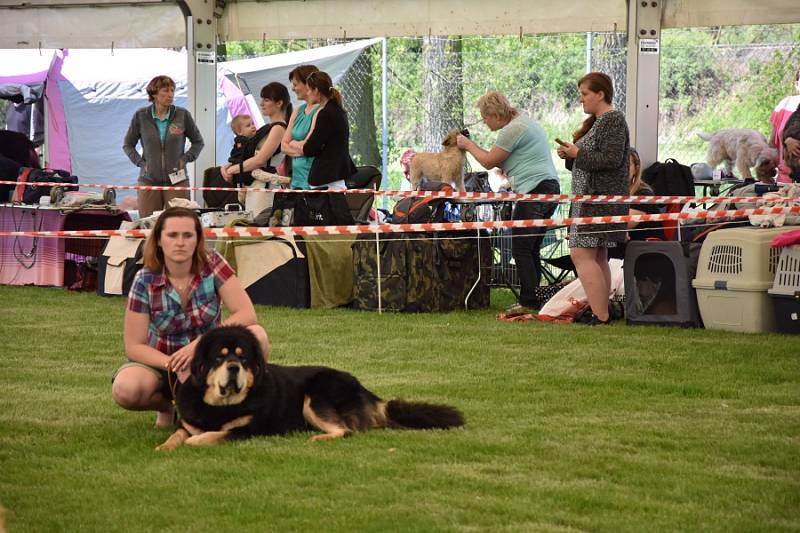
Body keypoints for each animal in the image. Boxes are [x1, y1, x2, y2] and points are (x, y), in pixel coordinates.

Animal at [157, 324, 466, 448]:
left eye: (242, 358)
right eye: (220, 358)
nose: (233, 367)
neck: (222, 406)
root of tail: (364, 389)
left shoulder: (248, 430)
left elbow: (215, 435)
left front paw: (196, 441)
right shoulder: (187, 423)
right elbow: (178, 435)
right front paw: (163, 446)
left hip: (315, 396)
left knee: (345, 431)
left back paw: (318, 438)